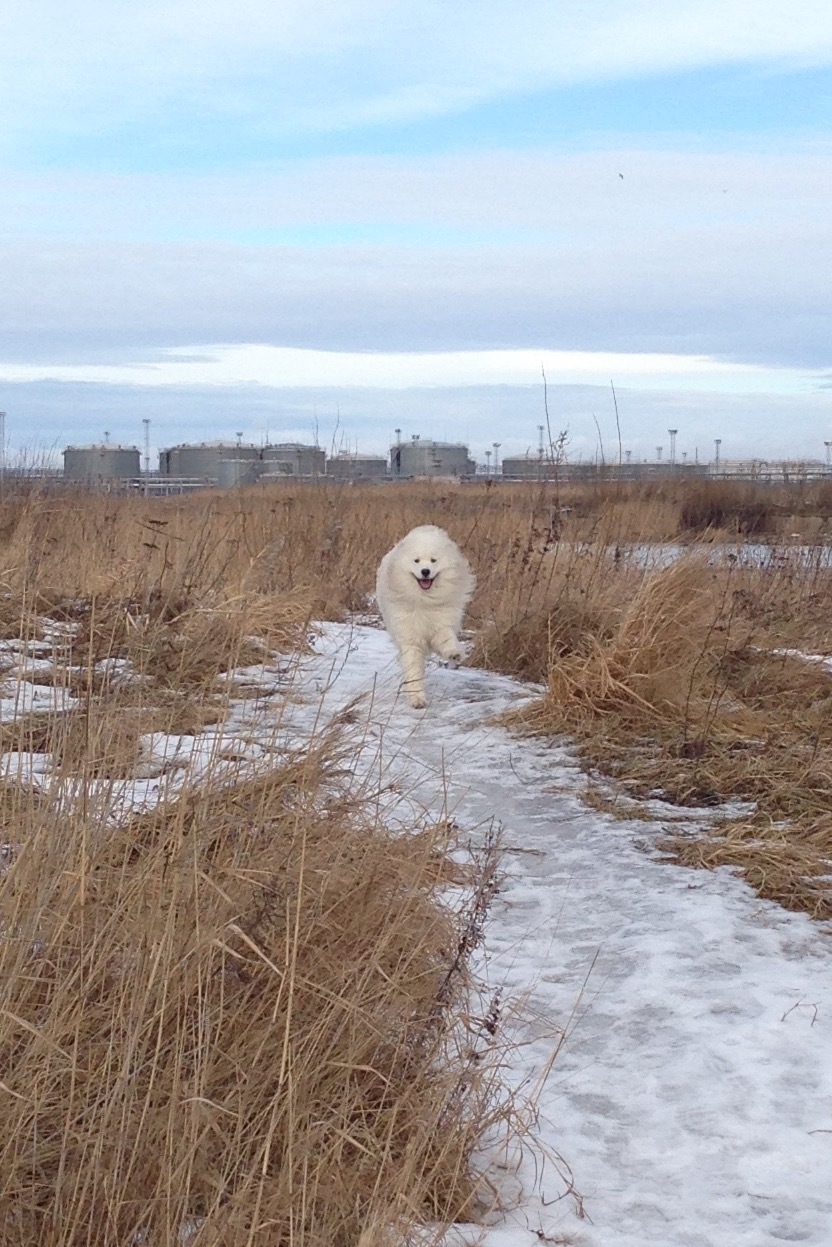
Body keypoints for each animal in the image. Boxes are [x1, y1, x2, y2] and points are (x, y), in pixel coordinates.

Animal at [376, 521, 474, 708]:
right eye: (416, 560)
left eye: (434, 560)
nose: (425, 571)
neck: (424, 600)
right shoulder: (409, 637)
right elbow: (413, 669)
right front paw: (417, 699)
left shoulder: (441, 623)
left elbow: (447, 639)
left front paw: (454, 654)